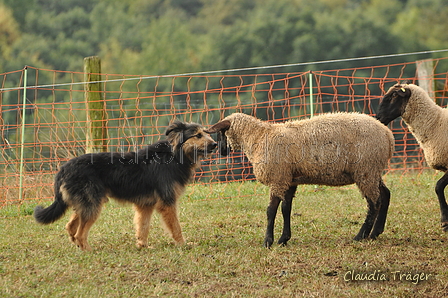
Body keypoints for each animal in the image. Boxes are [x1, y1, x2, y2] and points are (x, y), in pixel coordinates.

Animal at [34, 121, 216, 251]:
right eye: (198, 135)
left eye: (205, 134)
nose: (215, 144)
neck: (175, 154)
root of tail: (63, 169)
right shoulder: (167, 203)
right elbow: (176, 228)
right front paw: (183, 244)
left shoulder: (145, 205)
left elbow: (143, 227)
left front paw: (143, 246)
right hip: (92, 204)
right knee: (80, 233)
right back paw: (87, 250)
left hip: (86, 203)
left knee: (71, 226)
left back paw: (78, 246)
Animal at [205, 112, 394, 247]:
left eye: (221, 132)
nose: (221, 151)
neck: (258, 137)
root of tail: (388, 135)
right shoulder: (289, 180)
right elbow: (286, 209)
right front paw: (284, 239)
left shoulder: (278, 178)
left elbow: (271, 211)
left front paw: (268, 241)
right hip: (373, 171)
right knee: (385, 195)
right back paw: (376, 232)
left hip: (365, 170)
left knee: (374, 203)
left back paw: (361, 235)